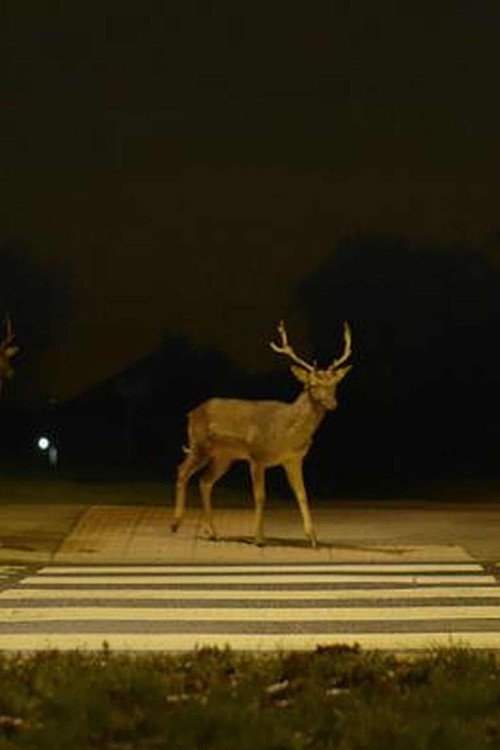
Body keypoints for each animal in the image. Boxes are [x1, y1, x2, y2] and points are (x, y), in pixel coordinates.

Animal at [171, 321, 352, 547]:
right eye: (312, 384)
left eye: (334, 384)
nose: (332, 403)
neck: (286, 434)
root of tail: (192, 413)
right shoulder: (257, 456)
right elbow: (260, 496)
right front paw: (259, 537)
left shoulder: (293, 459)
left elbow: (302, 494)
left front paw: (313, 538)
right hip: (199, 445)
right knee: (182, 471)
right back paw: (176, 524)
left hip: (224, 457)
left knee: (205, 481)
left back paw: (211, 531)